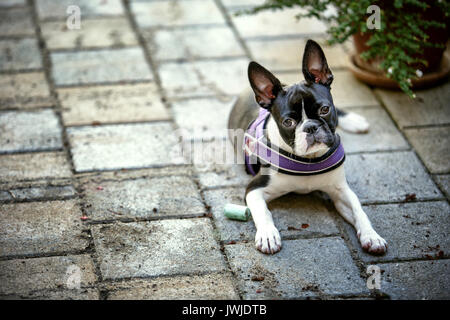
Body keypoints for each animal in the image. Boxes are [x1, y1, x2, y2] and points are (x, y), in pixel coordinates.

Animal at [229, 39, 386, 255]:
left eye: (325, 109)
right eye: (288, 122)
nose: (310, 127)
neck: (308, 161)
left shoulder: (341, 190)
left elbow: (359, 210)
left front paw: (372, 236)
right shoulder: (255, 188)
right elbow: (263, 211)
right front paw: (268, 235)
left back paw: (354, 120)